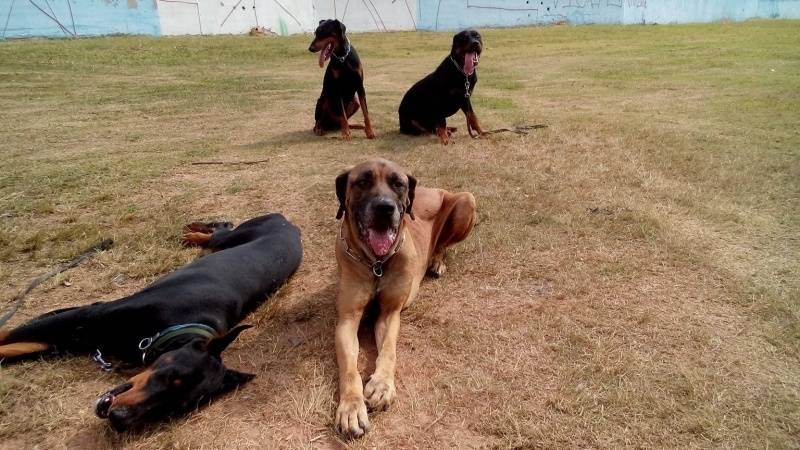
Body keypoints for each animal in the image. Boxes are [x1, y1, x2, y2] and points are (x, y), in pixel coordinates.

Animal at [332, 158, 476, 436]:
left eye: (398, 183)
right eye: (362, 181)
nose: (384, 208)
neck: (376, 264)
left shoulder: (390, 313)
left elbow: (388, 349)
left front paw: (381, 384)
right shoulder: (347, 320)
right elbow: (350, 369)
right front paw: (352, 406)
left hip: (466, 200)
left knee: (442, 245)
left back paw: (437, 262)